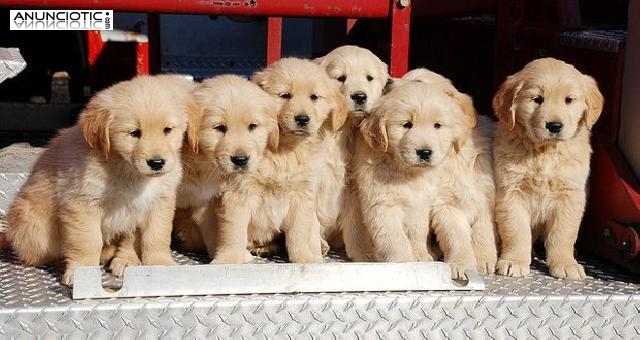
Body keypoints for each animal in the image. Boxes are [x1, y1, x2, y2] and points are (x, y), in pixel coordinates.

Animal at [3, 75, 194, 286]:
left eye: (168, 130)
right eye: (134, 133)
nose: (157, 163)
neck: (126, 169)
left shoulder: (158, 202)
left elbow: (156, 235)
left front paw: (159, 264)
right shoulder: (81, 205)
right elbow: (87, 241)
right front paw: (83, 271)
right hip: (35, 228)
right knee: (43, 255)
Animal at [211, 57, 348, 262]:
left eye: (314, 97)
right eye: (285, 95)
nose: (302, 119)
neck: (284, 151)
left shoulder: (302, 195)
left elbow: (300, 233)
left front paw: (305, 258)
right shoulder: (239, 191)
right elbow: (234, 232)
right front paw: (228, 259)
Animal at [492, 57, 604, 278]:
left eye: (569, 100)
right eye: (537, 99)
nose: (554, 126)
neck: (545, 153)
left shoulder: (570, 195)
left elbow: (563, 234)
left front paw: (565, 263)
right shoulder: (511, 193)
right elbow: (516, 230)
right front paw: (514, 261)